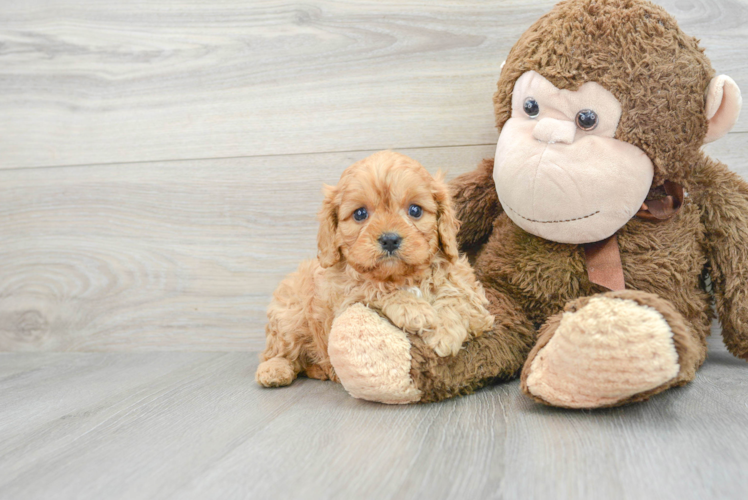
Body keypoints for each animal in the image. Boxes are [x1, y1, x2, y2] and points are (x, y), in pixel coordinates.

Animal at [254, 150, 494, 388]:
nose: (389, 239)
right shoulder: (342, 299)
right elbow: (370, 287)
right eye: (360, 214)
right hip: (290, 315)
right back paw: (274, 370)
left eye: (415, 210)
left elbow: (457, 297)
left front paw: (445, 331)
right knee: (277, 352)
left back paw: (322, 370)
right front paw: (413, 309)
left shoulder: (472, 294)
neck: (402, 277)